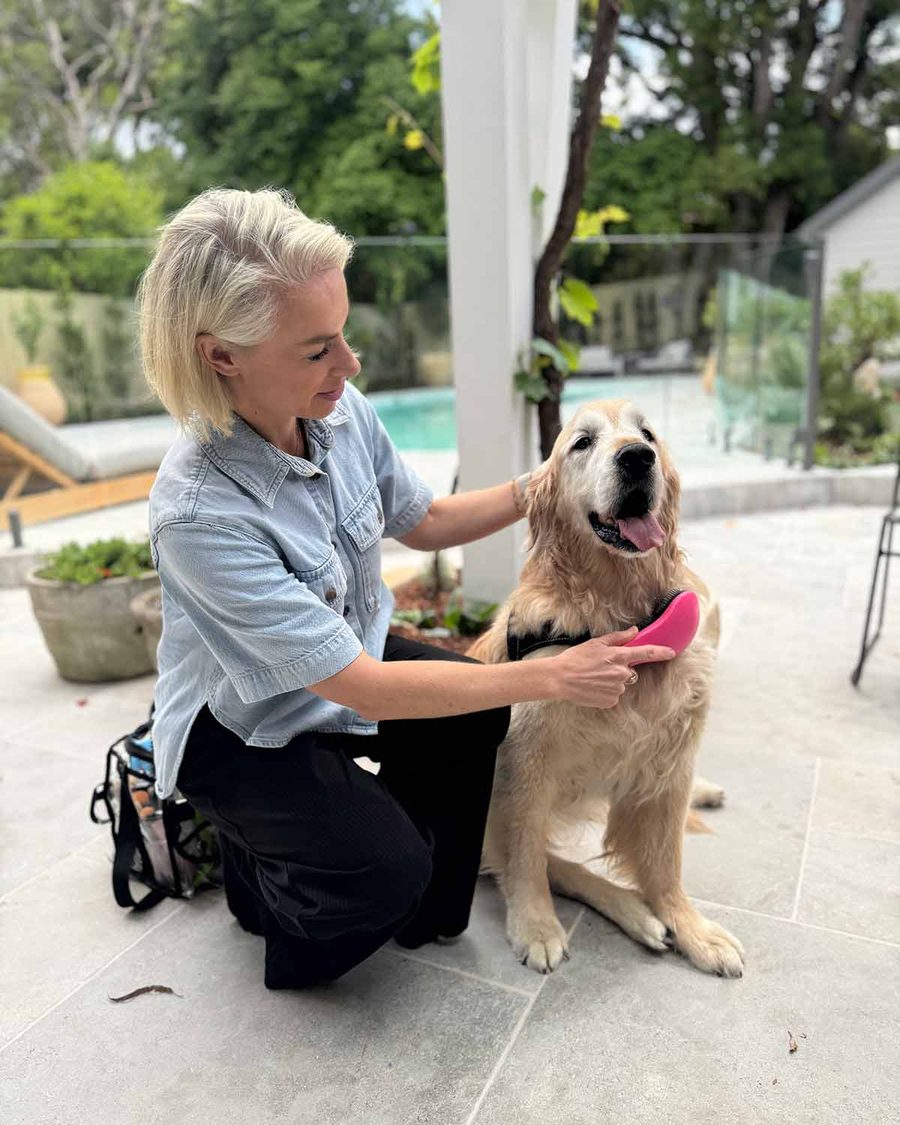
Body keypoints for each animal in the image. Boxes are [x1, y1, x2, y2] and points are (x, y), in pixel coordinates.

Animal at [467, 398, 744, 977]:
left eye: (649, 435)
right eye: (582, 442)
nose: (637, 458)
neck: (617, 609)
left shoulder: (671, 757)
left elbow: (666, 860)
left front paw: (691, 926)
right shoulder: (525, 762)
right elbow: (525, 855)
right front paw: (536, 926)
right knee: (543, 861)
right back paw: (633, 914)